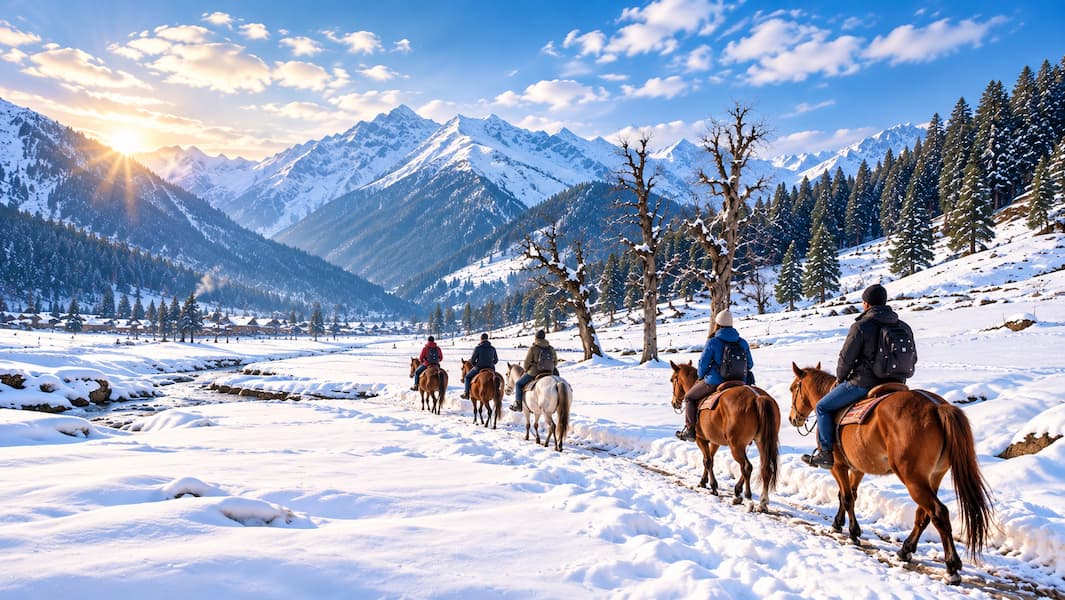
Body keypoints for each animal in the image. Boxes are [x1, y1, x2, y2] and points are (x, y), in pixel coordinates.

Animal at [669, 360, 780, 512]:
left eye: (672, 379)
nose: (674, 402)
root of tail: (758, 397)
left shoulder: (700, 439)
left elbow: (707, 461)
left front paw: (713, 486)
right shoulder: (715, 441)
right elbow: (710, 459)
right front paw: (704, 481)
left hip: (736, 445)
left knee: (747, 467)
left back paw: (748, 499)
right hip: (762, 442)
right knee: (765, 469)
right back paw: (760, 500)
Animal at [788, 362, 993, 583]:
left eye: (792, 389)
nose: (792, 418)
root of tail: (936, 407)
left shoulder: (837, 466)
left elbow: (846, 498)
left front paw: (853, 533)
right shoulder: (857, 468)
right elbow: (848, 495)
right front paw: (837, 524)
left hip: (912, 477)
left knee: (938, 513)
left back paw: (951, 566)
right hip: (932, 477)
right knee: (924, 514)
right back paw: (906, 550)